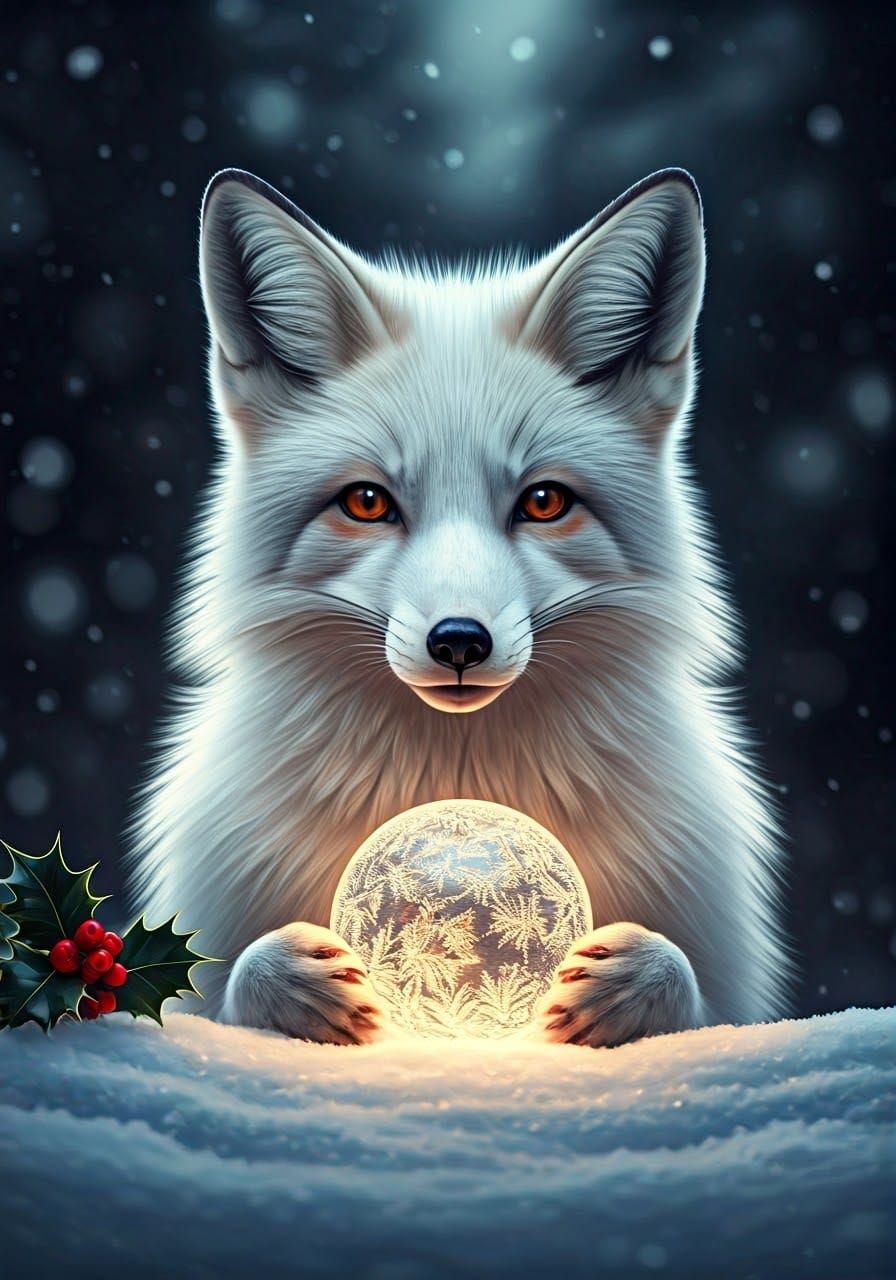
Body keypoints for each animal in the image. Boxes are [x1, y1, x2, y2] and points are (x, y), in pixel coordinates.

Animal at [125, 165, 792, 1047]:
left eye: (544, 502)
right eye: (367, 502)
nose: (459, 643)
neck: (459, 783)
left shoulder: (729, 976)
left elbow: (694, 998)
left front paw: (631, 981)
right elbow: (227, 991)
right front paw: (296, 981)